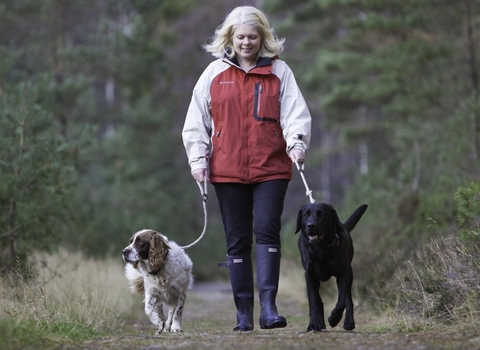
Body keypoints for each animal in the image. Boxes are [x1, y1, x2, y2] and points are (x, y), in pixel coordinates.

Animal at [294, 202, 370, 330]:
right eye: (306, 214)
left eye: (321, 214)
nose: (310, 225)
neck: (321, 248)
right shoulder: (310, 276)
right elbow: (313, 302)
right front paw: (313, 324)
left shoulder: (342, 274)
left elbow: (341, 301)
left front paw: (334, 318)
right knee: (319, 301)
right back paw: (320, 324)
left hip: (350, 273)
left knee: (348, 299)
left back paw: (349, 322)